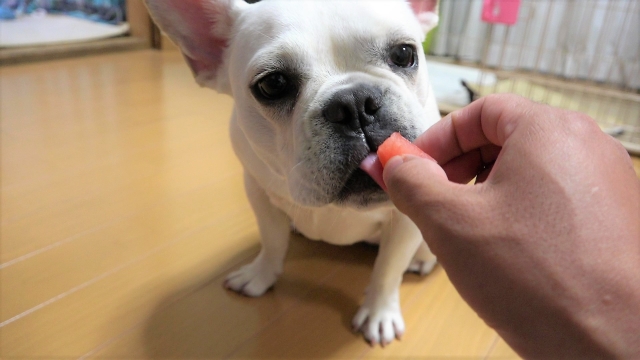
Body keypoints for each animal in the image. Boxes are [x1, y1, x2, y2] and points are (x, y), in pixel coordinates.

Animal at [144, 0, 440, 346]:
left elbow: (389, 268)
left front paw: (379, 313)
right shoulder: (259, 193)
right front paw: (260, 276)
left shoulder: (406, 222)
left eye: (404, 54)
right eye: (272, 85)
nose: (354, 103)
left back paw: (421, 260)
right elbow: (272, 241)